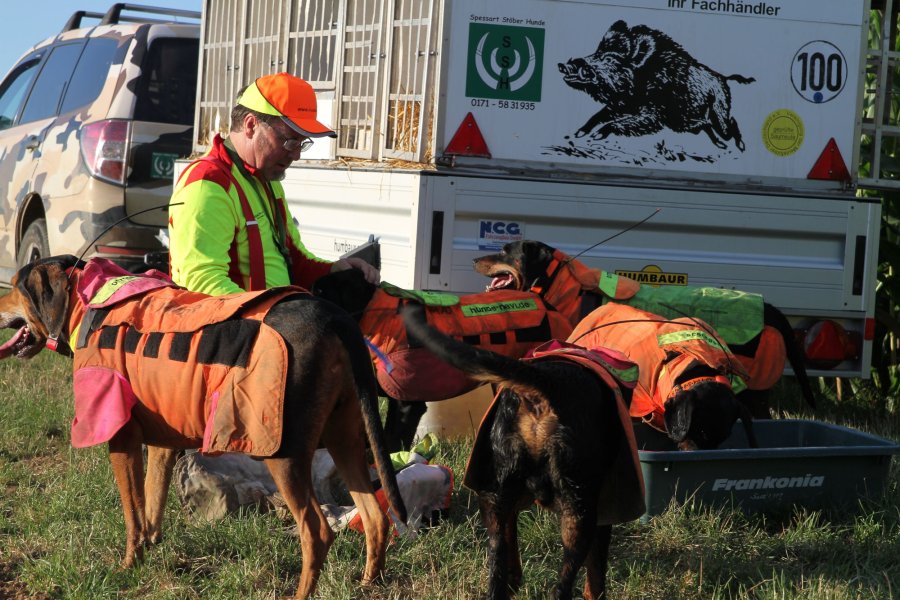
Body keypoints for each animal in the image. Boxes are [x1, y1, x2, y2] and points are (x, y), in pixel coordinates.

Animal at [0, 254, 408, 600]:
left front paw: (128, 566)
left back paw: (302, 593)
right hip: (346, 441)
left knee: (317, 532)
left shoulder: (121, 439)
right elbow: (150, 506)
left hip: (284, 453)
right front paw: (150, 552)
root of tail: (335, 317)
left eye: (15, 286)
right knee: (376, 519)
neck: (88, 302)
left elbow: (132, 514)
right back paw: (370, 583)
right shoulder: (163, 444)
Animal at [400, 304, 648, 600]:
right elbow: (596, 577)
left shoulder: (508, 504)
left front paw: (515, 581)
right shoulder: (602, 515)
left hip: (493, 500)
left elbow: (512, 547)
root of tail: (545, 387)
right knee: (562, 587)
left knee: (497, 567)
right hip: (579, 514)